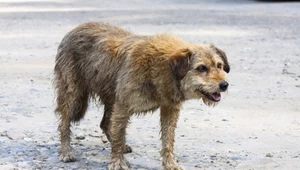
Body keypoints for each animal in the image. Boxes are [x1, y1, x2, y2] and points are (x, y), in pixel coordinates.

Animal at [54, 22, 230, 170]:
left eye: (219, 65)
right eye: (201, 68)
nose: (224, 85)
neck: (162, 68)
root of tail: (75, 29)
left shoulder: (169, 109)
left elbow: (168, 140)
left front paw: (170, 164)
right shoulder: (123, 106)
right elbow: (119, 135)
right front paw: (118, 163)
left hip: (111, 97)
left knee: (105, 123)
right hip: (73, 95)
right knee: (64, 124)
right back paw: (66, 152)